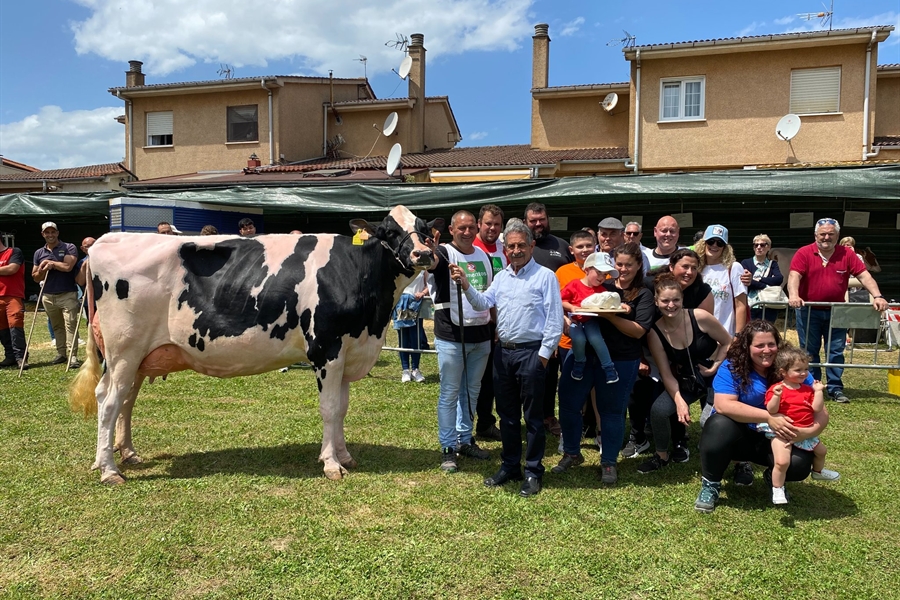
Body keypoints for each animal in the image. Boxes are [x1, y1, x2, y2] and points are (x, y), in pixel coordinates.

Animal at [69, 205, 440, 482]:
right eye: (389, 231)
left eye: (424, 229)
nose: (423, 254)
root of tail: (107, 239)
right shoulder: (326, 351)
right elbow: (330, 409)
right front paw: (331, 463)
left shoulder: (348, 352)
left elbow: (342, 408)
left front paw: (345, 456)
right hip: (123, 351)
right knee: (108, 400)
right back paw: (109, 469)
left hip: (137, 357)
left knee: (126, 401)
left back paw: (127, 454)